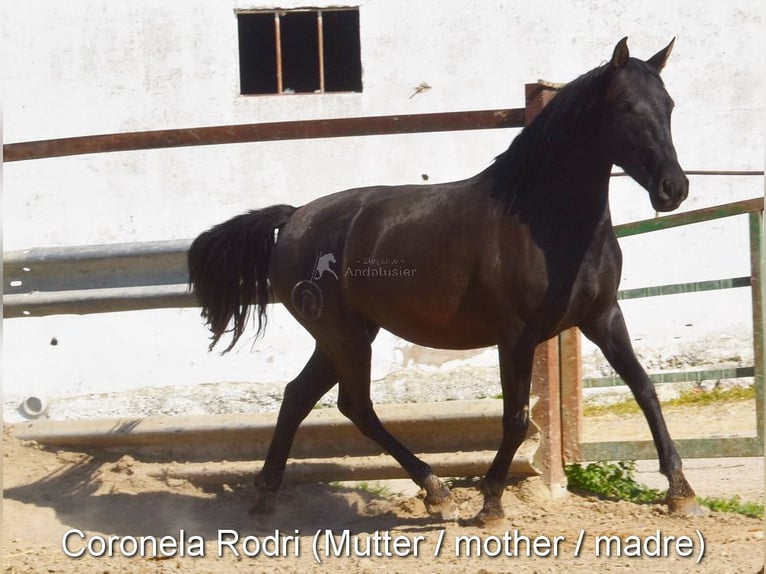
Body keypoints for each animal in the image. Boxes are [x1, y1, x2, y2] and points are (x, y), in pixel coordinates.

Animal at [190, 38, 704, 524]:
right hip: (345, 337)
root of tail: (294, 217)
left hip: (345, 337)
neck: (543, 220)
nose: (673, 188)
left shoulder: (602, 317)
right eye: (626, 106)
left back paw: (268, 500)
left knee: (300, 397)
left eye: (669, 105)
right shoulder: (516, 337)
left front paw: (681, 493)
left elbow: (644, 389)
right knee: (356, 406)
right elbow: (516, 419)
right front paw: (491, 503)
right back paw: (437, 494)